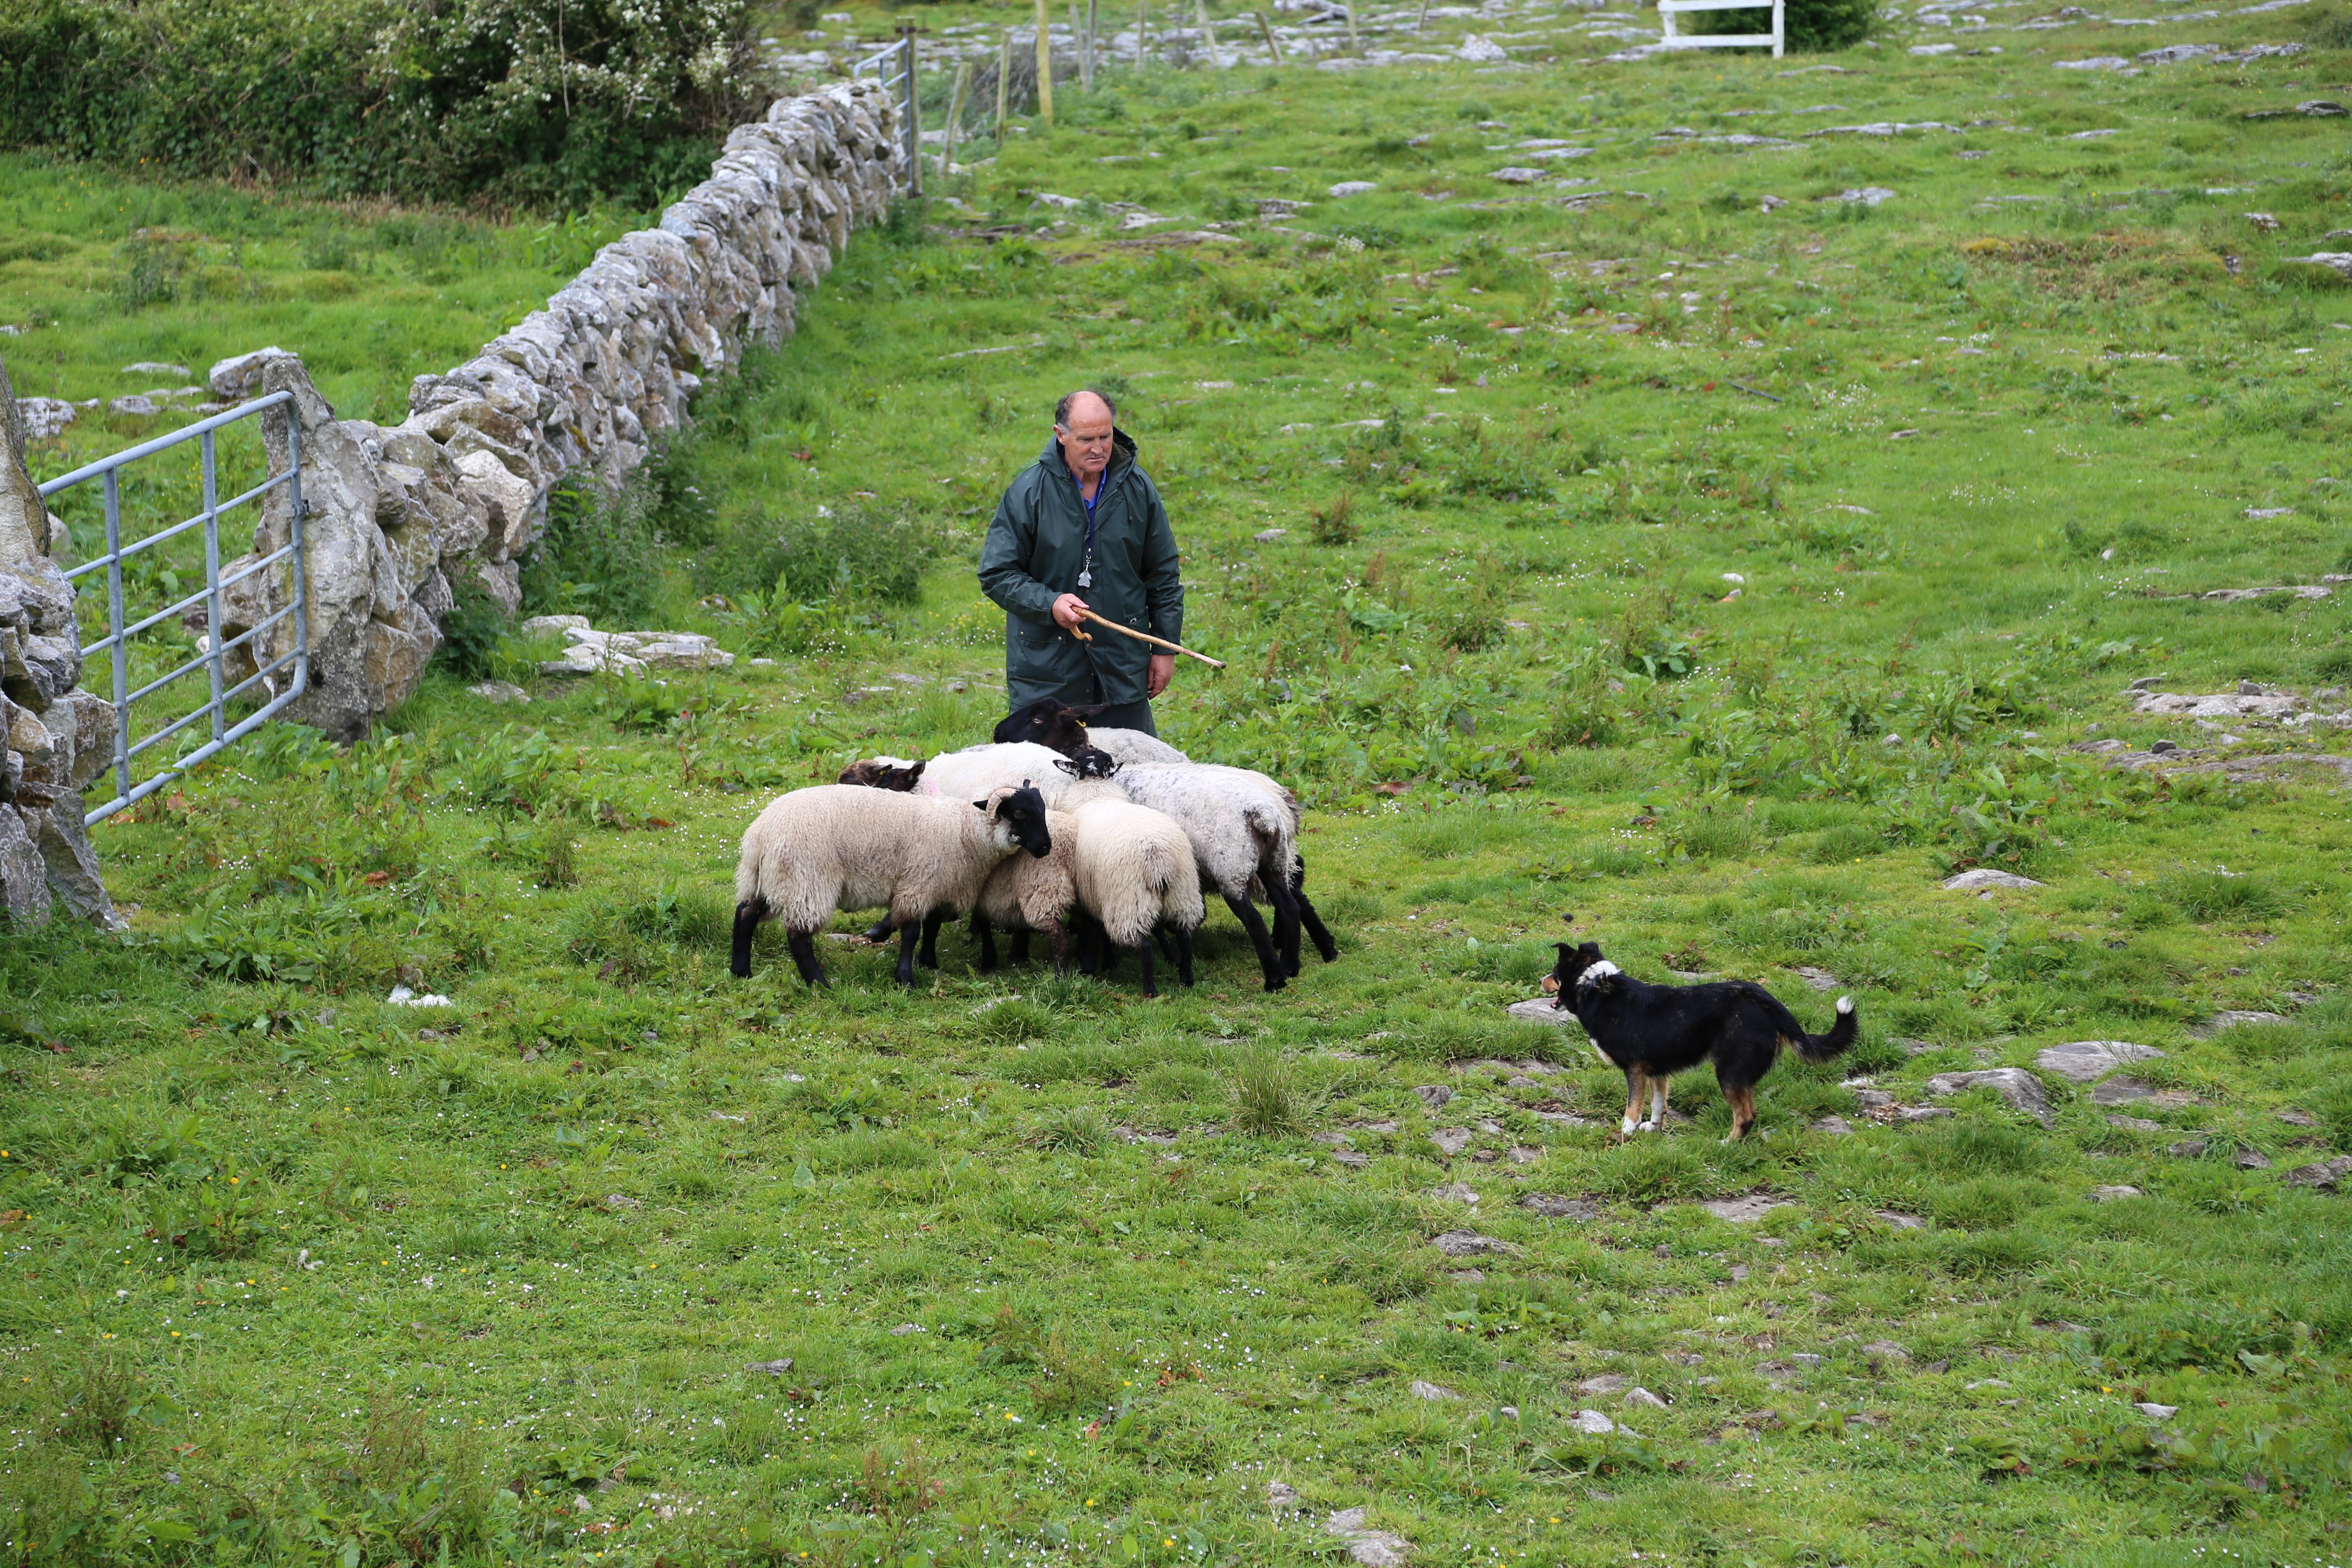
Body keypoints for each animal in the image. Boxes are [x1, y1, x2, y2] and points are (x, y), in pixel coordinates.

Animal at [729, 780, 1054, 987]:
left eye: (1043, 811)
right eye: (1020, 813)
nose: (1046, 847)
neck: (965, 829)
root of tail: (761, 833)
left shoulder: (938, 884)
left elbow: (932, 926)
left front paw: (929, 963)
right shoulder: (918, 882)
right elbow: (911, 932)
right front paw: (906, 979)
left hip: (764, 879)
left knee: (745, 915)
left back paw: (741, 971)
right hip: (806, 879)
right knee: (799, 937)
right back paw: (819, 985)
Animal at [1543, 940, 1853, 1133]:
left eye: (1556, 972)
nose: (1540, 980)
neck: (1595, 986)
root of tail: (1761, 998)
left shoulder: (1635, 1069)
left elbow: (1633, 1107)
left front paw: (1627, 1132)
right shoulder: (1656, 1071)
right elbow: (1658, 1105)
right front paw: (1653, 1128)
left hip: (1729, 1071)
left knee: (1745, 1116)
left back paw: (1727, 1145)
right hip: (1740, 1074)